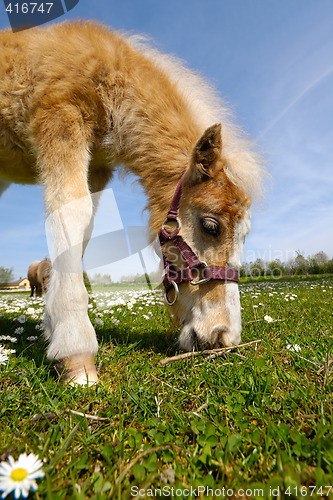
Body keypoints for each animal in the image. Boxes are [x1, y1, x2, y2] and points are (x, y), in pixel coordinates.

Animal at [0, 20, 264, 386]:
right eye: (211, 225)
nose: (224, 336)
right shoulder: (60, 118)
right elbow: (72, 213)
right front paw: (76, 353)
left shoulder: (97, 167)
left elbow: (83, 232)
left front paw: (53, 328)